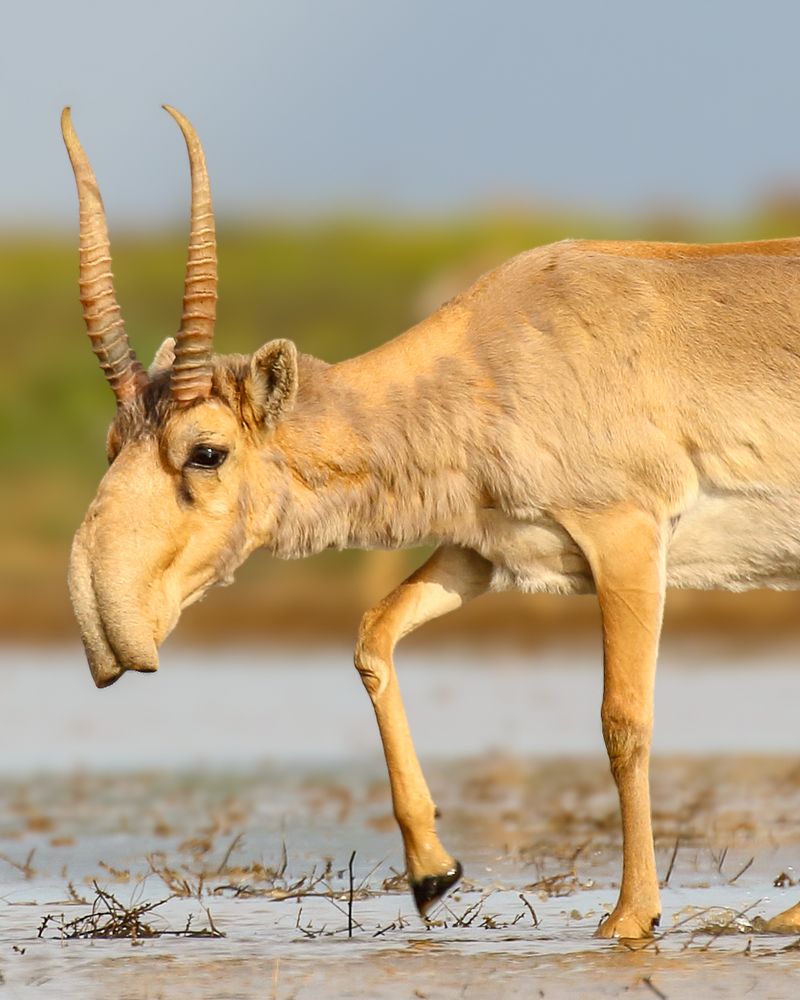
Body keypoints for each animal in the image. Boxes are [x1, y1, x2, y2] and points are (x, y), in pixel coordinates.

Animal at [62, 105, 800, 932]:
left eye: (207, 451)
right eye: (113, 442)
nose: (103, 622)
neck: (499, 353)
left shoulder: (627, 537)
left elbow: (624, 720)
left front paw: (629, 917)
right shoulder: (484, 553)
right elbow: (372, 635)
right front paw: (432, 872)